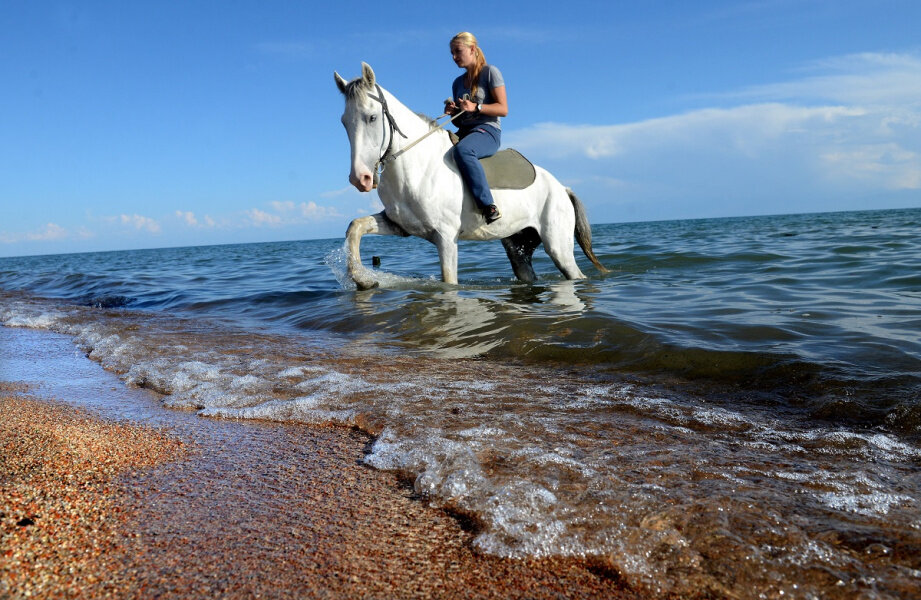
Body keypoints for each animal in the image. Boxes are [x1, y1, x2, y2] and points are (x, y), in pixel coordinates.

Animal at [334, 63, 608, 290]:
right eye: (344, 122)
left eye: (372, 117)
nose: (360, 178)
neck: (417, 167)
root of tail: (562, 188)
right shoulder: (400, 226)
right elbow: (355, 226)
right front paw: (362, 280)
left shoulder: (446, 238)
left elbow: (448, 282)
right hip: (519, 250)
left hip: (558, 247)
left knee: (574, 274)